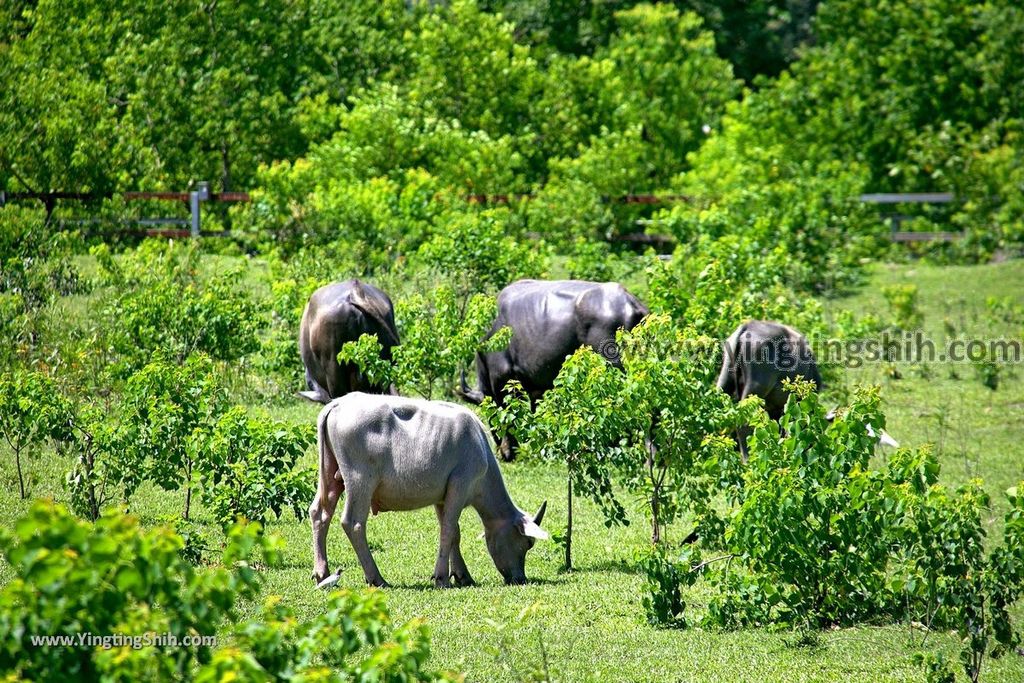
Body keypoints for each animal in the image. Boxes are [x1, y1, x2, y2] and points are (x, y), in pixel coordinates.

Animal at [311, 389, 548, 589]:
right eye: (528, 543)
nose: (520, 578)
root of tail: (338, 403)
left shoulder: (442, 496)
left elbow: (454, 533)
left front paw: (462, 575)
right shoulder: (459, 486)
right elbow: (448, 530)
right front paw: (442, 577)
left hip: (332, 476)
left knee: (320, 513)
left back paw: (322, 573)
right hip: (360, 481)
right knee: (354, 523)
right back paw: (376, 577)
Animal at [458, 278, 643, 458]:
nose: (501, 454)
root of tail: (630, 303)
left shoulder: (501, 379)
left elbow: (508, 415)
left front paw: (512, 450)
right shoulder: (537, 388)